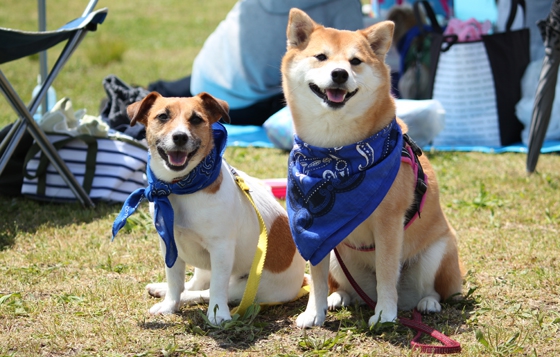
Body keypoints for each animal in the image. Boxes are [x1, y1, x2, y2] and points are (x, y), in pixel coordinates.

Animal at [112, 91, 306, 322]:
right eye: (162, 116)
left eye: (196, 119)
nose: (180, 137)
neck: (180, 187)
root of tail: (302, 280)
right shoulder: (169, 244)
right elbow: (175, 281)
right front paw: (169, 305)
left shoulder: (221, 249)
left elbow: (216, 287)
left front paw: (218, 313)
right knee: (195, 283)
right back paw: (163, 289)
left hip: (251, 286)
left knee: (206, 291)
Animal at [282, 8, 462, 326]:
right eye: (321, 57)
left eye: (355, 61)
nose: (339, 73)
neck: (334, 151)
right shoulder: (317, 237)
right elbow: (316, 280)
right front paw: (314, 313)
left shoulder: (389, 223)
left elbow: (387, 273)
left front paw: (385, 314)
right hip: (338, 258)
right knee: (344, 287)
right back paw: (338, 297)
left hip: (438, 251)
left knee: (433, 289)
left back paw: (427, 302)